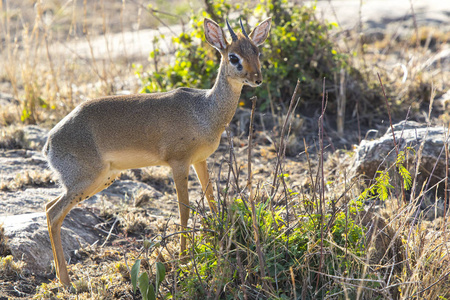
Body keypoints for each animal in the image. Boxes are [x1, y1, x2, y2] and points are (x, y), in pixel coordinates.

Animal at [44, 17, 272, 284]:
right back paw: (67, 282)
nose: (257, 78)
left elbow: (212, 200)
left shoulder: (200, 160)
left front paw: (220, 242)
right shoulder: (178, 163)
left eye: (257, 51)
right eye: (233, 57)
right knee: (54, 214)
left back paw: (62, 278)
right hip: (86, 181)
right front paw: (184, 259)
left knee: (48, 208)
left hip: (99, 180)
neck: (204, 111)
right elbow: (184, 211)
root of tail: (50, 140)